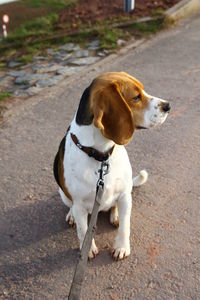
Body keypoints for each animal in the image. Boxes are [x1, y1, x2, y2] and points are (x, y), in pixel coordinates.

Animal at [53, 71, 170, 260]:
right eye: (136, 97)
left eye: (143, 91)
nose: (168, 106)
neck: (101, 155)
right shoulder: (79, 205)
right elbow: (83, 230)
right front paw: (87, 249)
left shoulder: (125, 195)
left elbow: (125, 226)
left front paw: (122, 247)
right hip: (62, 193)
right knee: (71, 207)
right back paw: (71, 216)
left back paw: (115, 215)